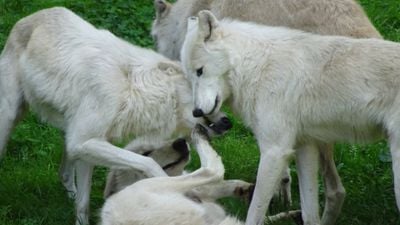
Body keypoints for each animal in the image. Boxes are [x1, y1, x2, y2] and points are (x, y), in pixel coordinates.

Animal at [0, 7, 231, 225]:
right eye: (202, 86)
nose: (228, 122)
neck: (132, 88)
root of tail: (31, 16)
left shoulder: (87, 145)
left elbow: (83, 203)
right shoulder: (84, 142)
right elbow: (148, 163)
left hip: (70, 136)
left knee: (65, 174)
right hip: (10, 119)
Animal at [101, 125, 253, 225]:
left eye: (164, 137)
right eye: (146, 152)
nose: (180, 142)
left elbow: (220, 186)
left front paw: (245, 189)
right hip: (145, 186)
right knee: (212, 170)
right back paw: (199, 133)